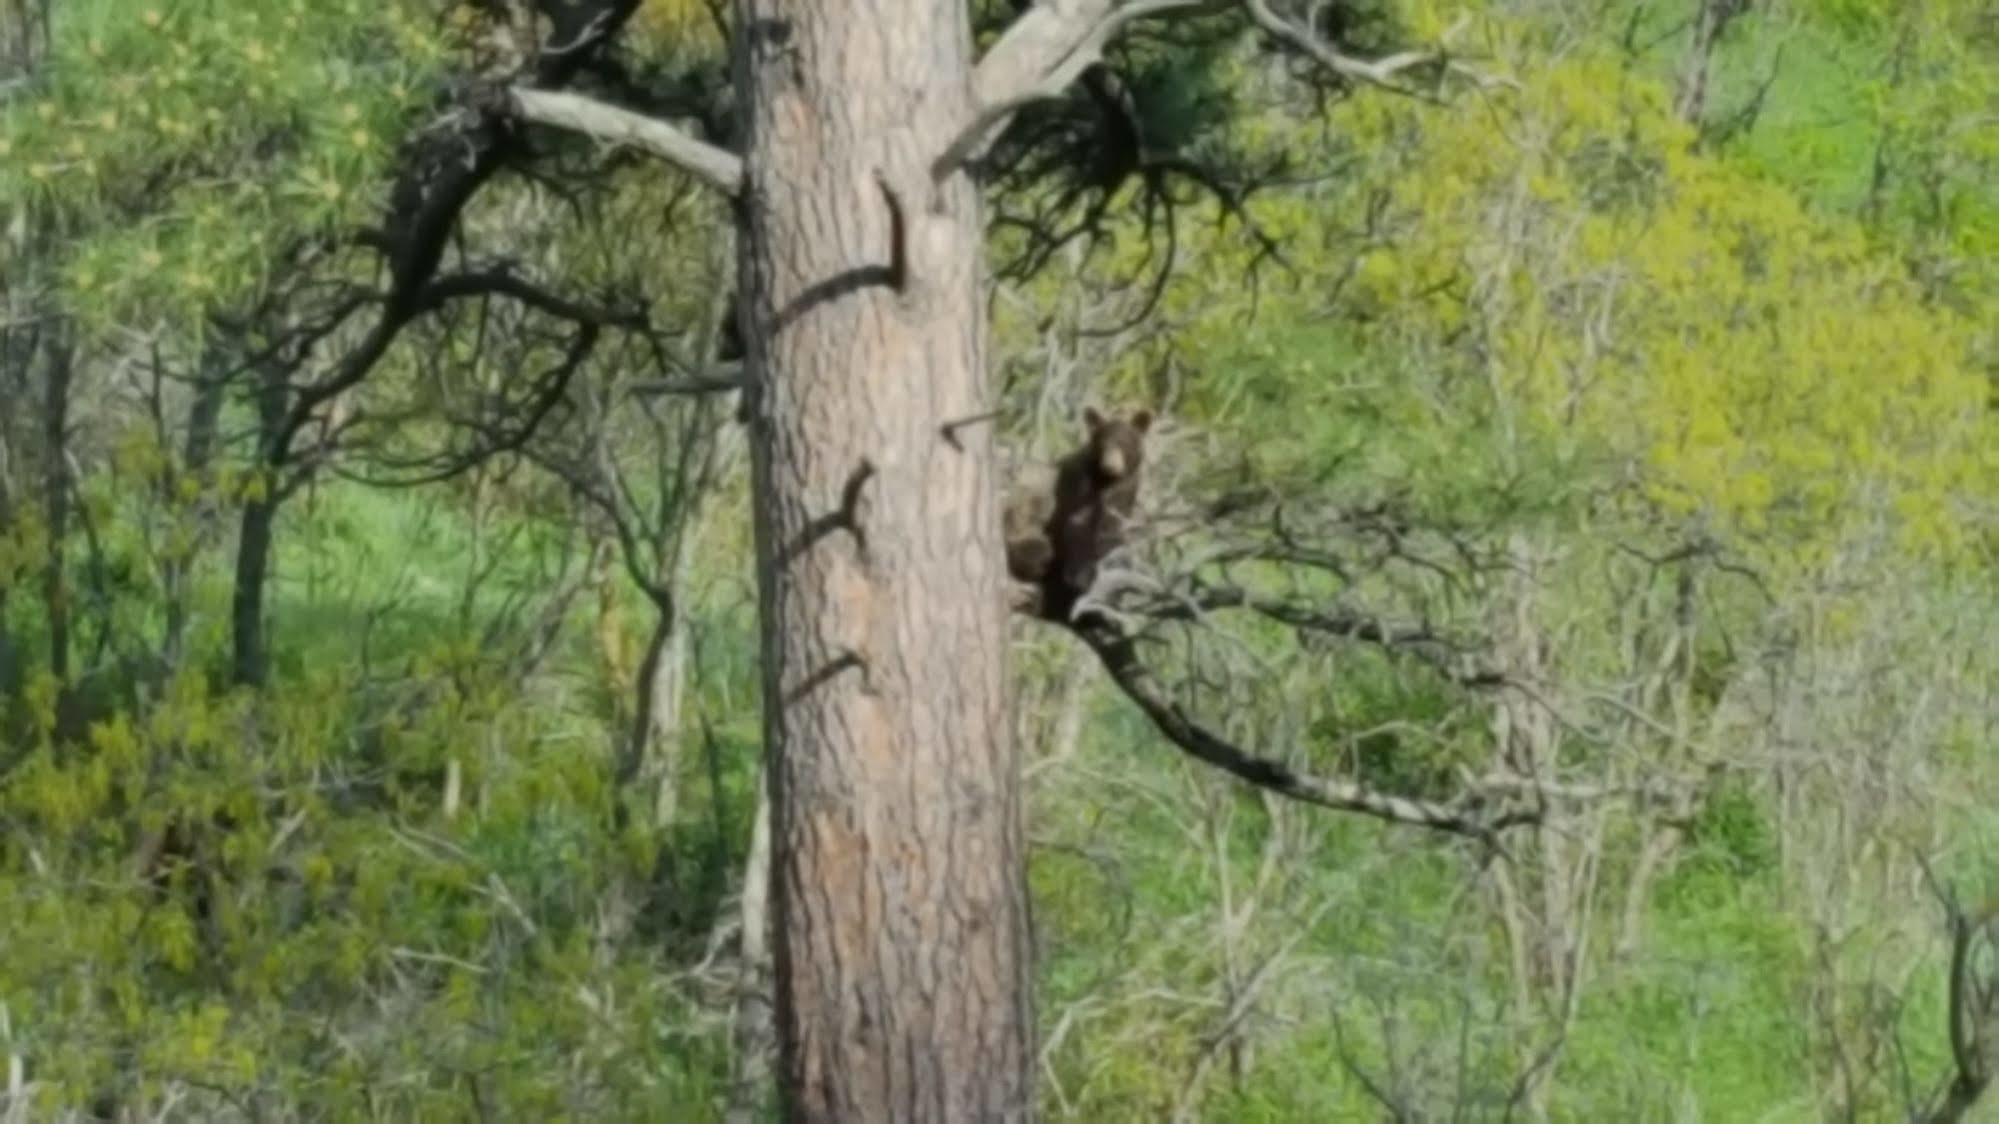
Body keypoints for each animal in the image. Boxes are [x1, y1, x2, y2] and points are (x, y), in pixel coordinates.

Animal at [999, 404, 1159, 616]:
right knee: (1037, 549)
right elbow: (1077, 523)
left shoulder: (1126, 489)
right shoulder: (1078, 484)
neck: (1104, 480)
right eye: (1103, 442)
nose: (1111, 464)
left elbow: (1111, 527)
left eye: (1124, 443)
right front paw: (1079, 578)